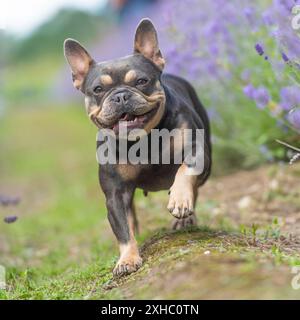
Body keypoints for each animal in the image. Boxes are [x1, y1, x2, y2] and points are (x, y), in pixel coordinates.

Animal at [64, 18, 212, 276]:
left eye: (141, 81)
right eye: (98, 90)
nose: (121, 95)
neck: (144, 140)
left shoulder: (197, 151)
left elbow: (186, 170)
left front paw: (179, 199)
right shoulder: (115, 193)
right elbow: (122, 229)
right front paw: (127, 259)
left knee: (195, 187)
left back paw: (184, 215)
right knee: (130, 215)